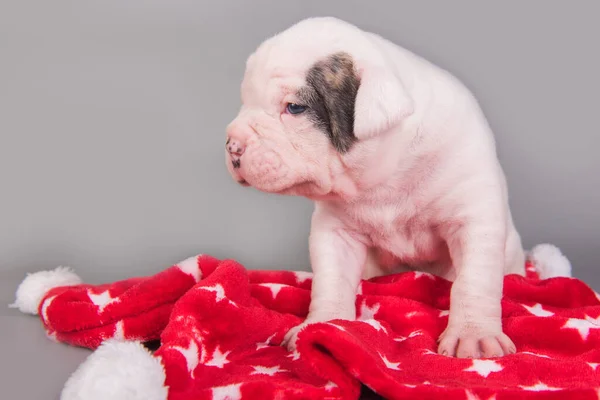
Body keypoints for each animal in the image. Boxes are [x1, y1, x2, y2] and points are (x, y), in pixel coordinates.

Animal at [226, 16, 528, 360]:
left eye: (294, 108)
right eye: (245, 102)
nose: (232, 144)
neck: (385, 177)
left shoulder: (473, 217)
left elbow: (474, 280)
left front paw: (473, 336)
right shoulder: (335, 231)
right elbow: (331, 279)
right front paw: (322, 325)